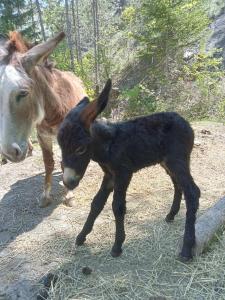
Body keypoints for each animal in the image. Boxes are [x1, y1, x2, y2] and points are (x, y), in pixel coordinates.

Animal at [56, 78, 200, 262]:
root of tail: (184, 121)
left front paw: (117, 246)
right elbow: (96, 203)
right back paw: (171, 215)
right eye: (61, 147)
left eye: (80, 149)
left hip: (177, 161)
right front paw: (81, 236)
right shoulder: (109, 175)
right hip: (167, 163)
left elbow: (117, 206)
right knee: (178, 185)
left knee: (192, 192)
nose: (69, 182)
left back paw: (187, 248)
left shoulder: (123, 173)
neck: (109, 145)